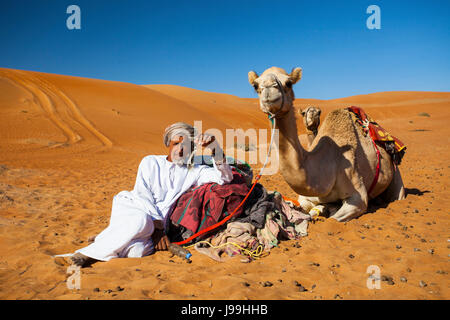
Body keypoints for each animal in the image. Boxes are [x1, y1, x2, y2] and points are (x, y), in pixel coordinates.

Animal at [248, 66, 406, 221]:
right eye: (255, 85)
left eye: (289, 83)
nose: (269, 91)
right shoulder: (305, 198)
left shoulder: (358, 197)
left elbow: (334, 218)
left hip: (395, 174)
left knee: (398, 195)